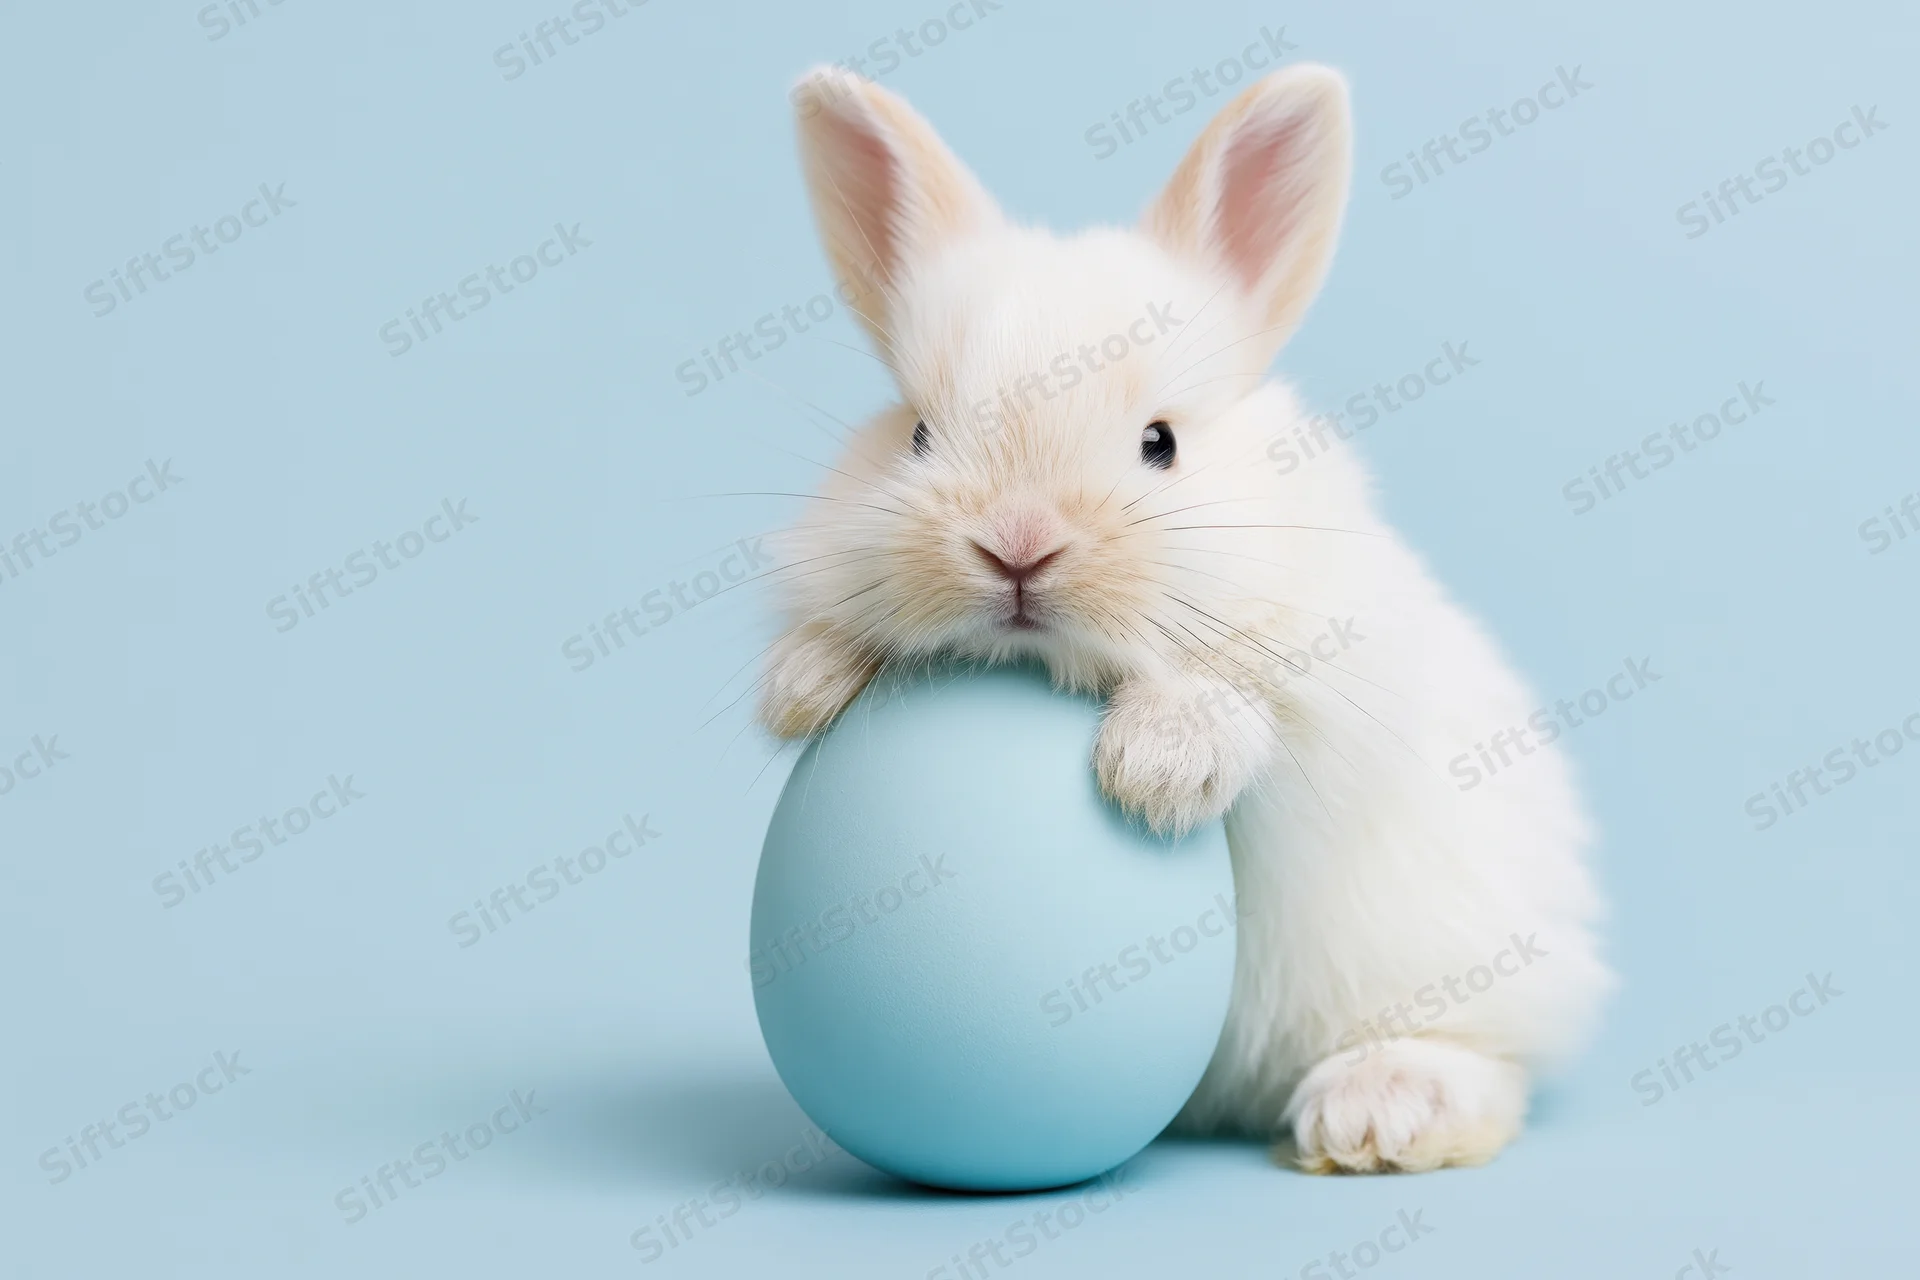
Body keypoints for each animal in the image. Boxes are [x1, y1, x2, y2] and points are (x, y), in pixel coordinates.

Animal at [755, 60, 1612, 1174]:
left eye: (1159, 442)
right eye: (918, 435)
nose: (1017, 544)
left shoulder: (1324, 684)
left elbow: (1241, 706)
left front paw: (1157, 768)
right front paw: (801, 686)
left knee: (1485, 1053)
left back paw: (1381, 1111)